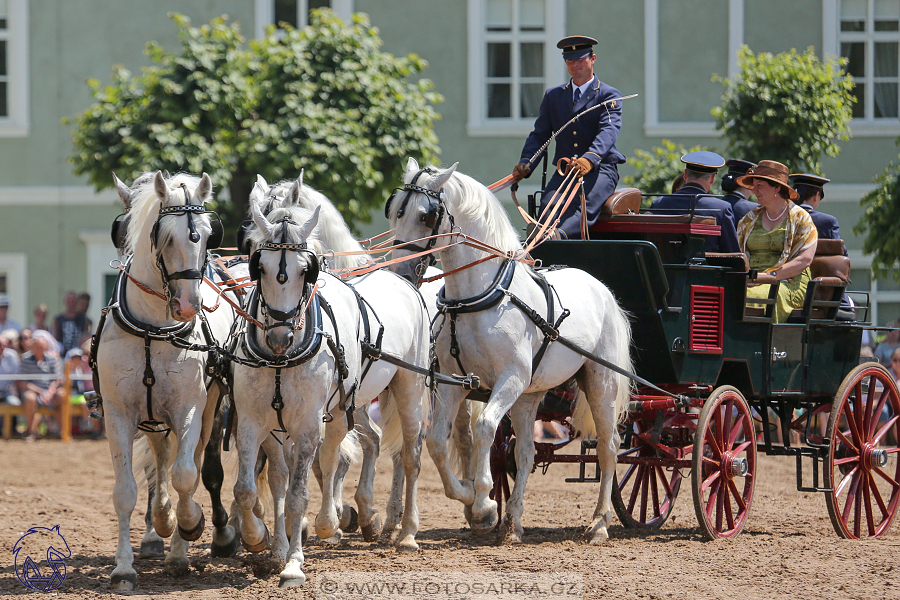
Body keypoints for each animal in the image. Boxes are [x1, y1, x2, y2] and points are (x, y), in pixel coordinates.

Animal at [97, 170, 237, 592]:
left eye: (208, 235)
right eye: (164, 237)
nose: (190, 304)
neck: (152, 328)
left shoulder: (188, 407)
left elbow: (186, 475)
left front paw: (190, 525)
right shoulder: (119, 414)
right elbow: (126, 491)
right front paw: (124, 567)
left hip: (210, 408)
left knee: (194, 465)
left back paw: (183, 547)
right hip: (153, 416)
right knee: (161, 461)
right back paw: (160, 522)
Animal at [244, 176, 430, 552]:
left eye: (307, 269)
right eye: (255, 251)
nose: (280, 335)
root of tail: (404, 282)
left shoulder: (328, 408)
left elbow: (328, 460)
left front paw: (329, 521)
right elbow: (291, 467)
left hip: (406, 388)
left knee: (409, 452)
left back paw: (404, 530)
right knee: (377, 440)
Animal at [386, 158, 632, 544]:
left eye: (427, 215)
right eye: (395, 209)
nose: (399, 271)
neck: (478, 296)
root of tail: (602, 289)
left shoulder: (510, 379)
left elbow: (485, 427)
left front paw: (484, 502)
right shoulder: (454, 382)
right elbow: (438, 442)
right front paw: (471, 499)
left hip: (599, 381)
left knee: (608, 446)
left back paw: (599, 523)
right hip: (530, 394)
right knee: (527, 451)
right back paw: (513, 523)